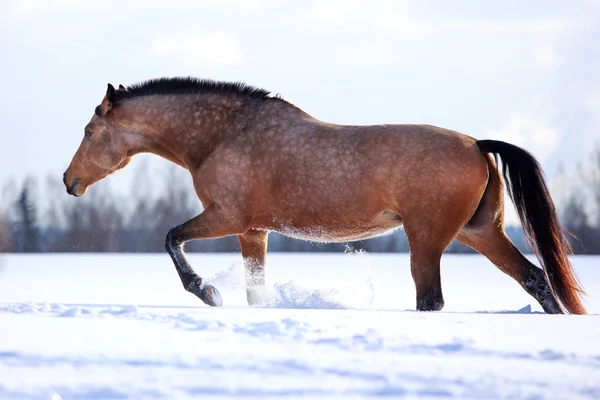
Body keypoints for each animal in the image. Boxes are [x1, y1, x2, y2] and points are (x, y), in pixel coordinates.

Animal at [62, 78, 584, 314]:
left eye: (88, 131)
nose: (70, 181)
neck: (222, 136)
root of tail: (477, 144)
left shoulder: (227, 216)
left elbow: (171, 237)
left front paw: (206, 291)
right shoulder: (253, 232)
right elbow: (256, 290)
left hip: (429, 239)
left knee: (432, 298)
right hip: (480, 232)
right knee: (536, 280)